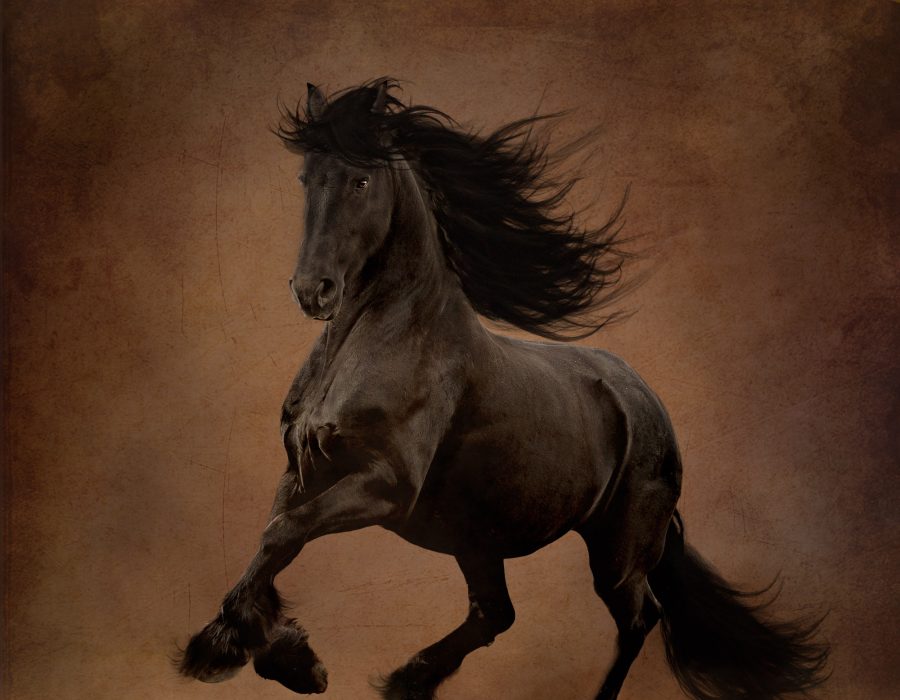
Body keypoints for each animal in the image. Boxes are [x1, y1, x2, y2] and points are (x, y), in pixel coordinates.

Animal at [177, 79, 829, 700]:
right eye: (306, 178)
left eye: (361, 179)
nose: (313, 290)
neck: (376, 342)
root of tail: (649, 405)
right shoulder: (304, 470)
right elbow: (275, 540)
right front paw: (279, 654)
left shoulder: (385, 485)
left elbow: (283, 532)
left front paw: (237, 652)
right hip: (479, 538)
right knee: (497, 614)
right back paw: (408, 680)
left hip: (614, 549)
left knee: (639, 617)